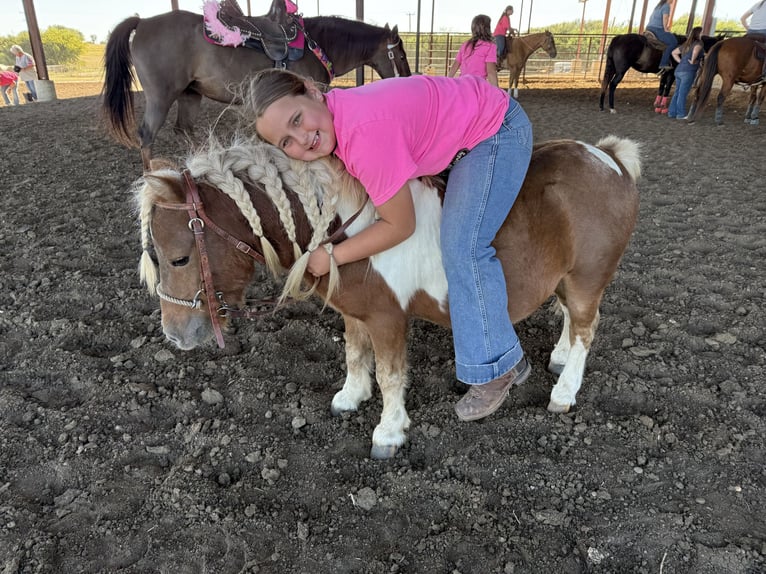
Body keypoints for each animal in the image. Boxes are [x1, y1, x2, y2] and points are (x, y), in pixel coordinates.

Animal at [102, 10, 411, 170]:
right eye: (401, 55)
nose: (409, 76)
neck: (317, 44)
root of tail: (143, 21)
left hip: (190, 95)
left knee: (184, 130)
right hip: (161, 96)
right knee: (147, 135)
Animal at [133, 135, 641, 459]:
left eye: (179, 257)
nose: (175, 335)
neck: (351, 227)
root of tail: (608, 158)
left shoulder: (387, 318)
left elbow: (391, 375)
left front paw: (389, 432)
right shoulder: (355, 314)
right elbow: (355, 356)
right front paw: (350, 397)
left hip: (587, 277)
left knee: (585, 328)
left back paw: (564, 391)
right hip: (566, 278)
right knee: (569, 321)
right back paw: (557, 358)